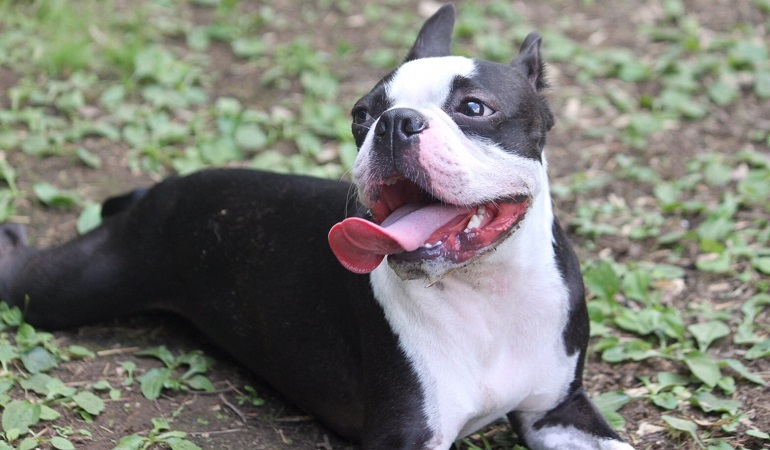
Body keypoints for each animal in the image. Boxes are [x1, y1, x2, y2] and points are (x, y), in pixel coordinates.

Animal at [0, 4, 632, 450]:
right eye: (361, 115)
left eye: (475, 108)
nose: (394, 122)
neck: (487, 290)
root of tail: (160, 189)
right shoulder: (408, 435)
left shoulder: (559, 412)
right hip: (66, 287)